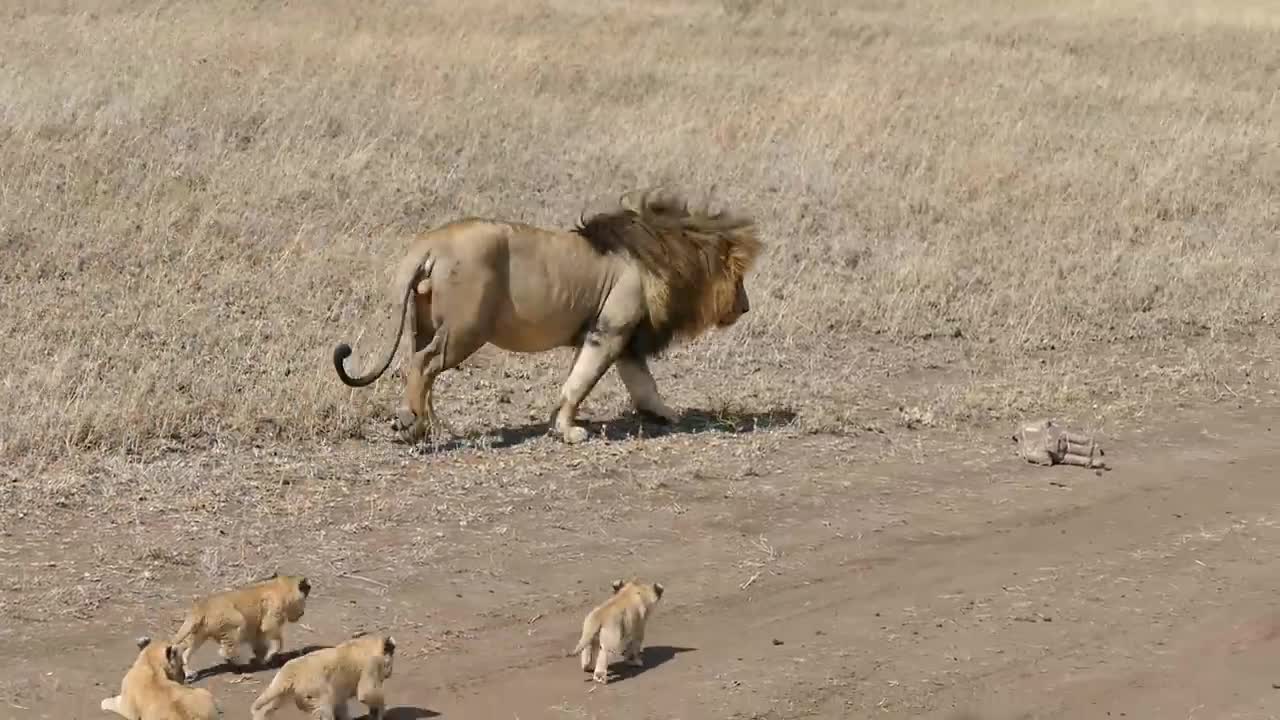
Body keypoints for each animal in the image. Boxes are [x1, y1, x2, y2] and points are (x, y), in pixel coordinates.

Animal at [335, 184, 762, 443]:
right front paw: (569, 431)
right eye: (739, 277)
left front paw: (664, 416)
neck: (665, 255)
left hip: (424, 324)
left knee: (417, 367)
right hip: (464, 330)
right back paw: (415, 425)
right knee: (422, 365)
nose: (745, 306)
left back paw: (428, 423)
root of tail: (430, 243)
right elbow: (581, 382)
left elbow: (640, 384)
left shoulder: (619, 337)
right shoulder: (609, 331)